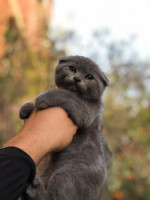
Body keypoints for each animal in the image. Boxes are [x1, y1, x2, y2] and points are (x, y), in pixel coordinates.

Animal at [19, 55, 110, 200]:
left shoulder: (87, 111)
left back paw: (35, 191)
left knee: (56, 196)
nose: (77, 78)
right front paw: (26, 108)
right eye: (72, 68)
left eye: (89, 77)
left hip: (69, 174)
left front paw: (42, 99)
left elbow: (66, 96)